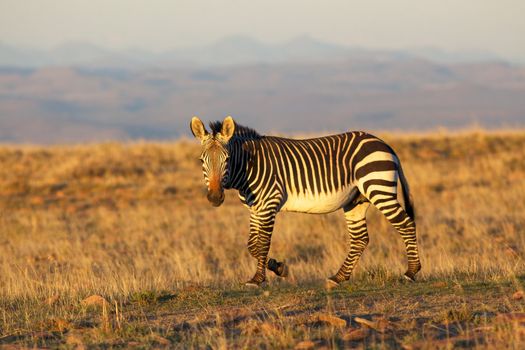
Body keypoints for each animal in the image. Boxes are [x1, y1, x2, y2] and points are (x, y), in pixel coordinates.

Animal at [190, 116, 420, 288]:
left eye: (227, 159)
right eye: (202, 161)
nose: (215, 197)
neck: (249, 166)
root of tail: (385, 144)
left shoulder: (269, 205)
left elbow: (262, 244)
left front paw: (259, 279)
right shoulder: (255, 209)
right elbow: (252, 245)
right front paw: (278, 267)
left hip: (379, 188)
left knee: (406, 224)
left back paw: (411, 272)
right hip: (357, 200)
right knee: (360, 239)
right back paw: (339, 277)